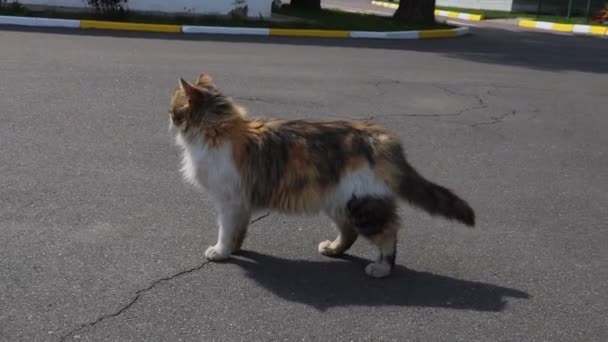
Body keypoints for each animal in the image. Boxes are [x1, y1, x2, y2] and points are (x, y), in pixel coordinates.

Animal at [167, 73, 476, 276]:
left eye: (174, 108)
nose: (167, 117)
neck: (220, 130)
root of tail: (382, 138)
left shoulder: (228, 199)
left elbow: (225, 229)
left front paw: (221, 251)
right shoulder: (240, 202)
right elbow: (238, 230)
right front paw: (235, 248)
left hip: (362, 204)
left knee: (389, 232)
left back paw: (381, 267)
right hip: (339, 202)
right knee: (350, 232)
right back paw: (333, 249)